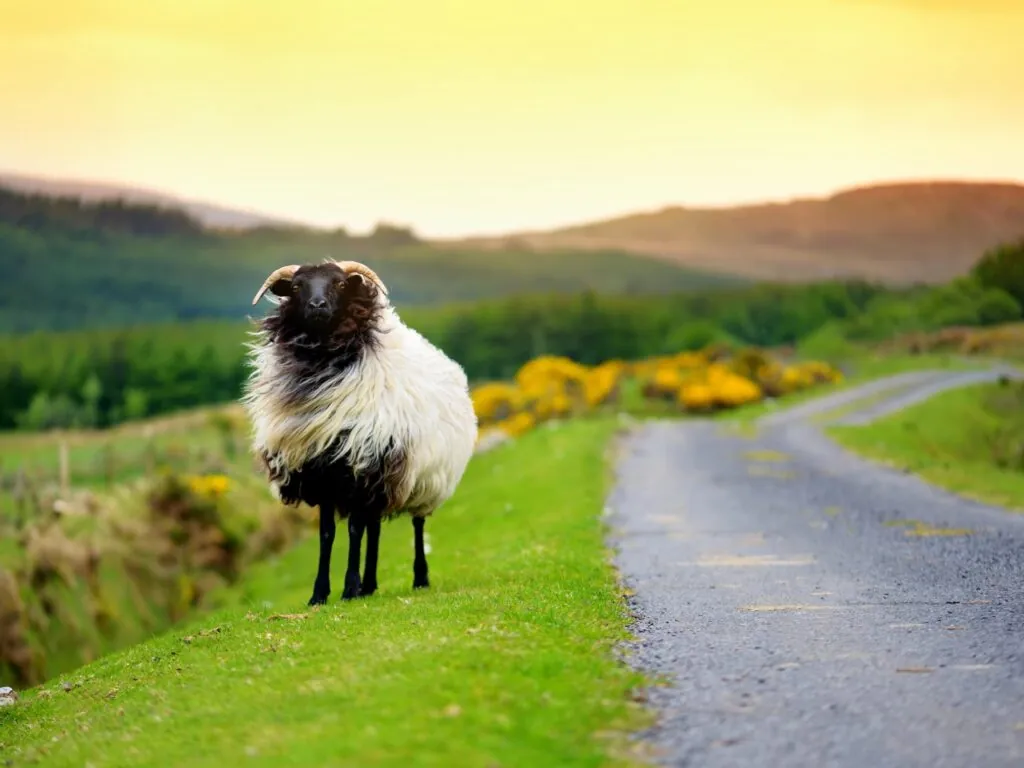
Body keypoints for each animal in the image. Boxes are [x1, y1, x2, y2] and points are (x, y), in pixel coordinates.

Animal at [242, 259, 478, 605]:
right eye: (297, 286)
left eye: (340, 284)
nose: (317, 306)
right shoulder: (322, 472)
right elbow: (328, 534)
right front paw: (320, 593)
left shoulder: (361, 467)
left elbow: (354, 530)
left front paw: (349, 588)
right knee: (375, 527)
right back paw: (370, 584)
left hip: (424, 476)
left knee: (416, 524)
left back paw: (419, 578)